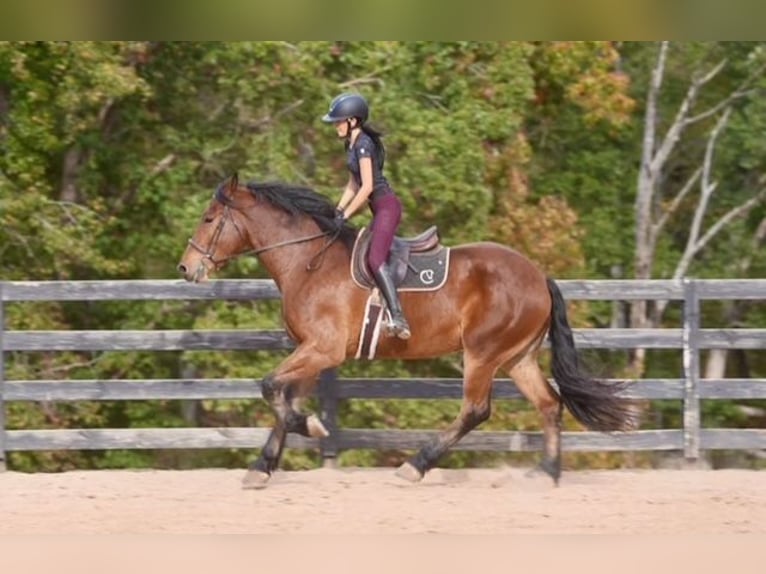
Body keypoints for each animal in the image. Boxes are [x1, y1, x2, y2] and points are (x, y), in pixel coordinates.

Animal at [177, 173, 638, 489]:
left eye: (209, 218)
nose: (186, 268)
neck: (306, 261)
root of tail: (539, 276)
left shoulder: (323, 350)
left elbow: (271, 388)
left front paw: (310, 428)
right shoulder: (311, 352)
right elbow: (283, 399)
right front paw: (264, 465)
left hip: (483, 353)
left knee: (476, 410)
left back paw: (415, 465)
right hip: (517, 357)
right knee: (548, 404)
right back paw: (547, 473)